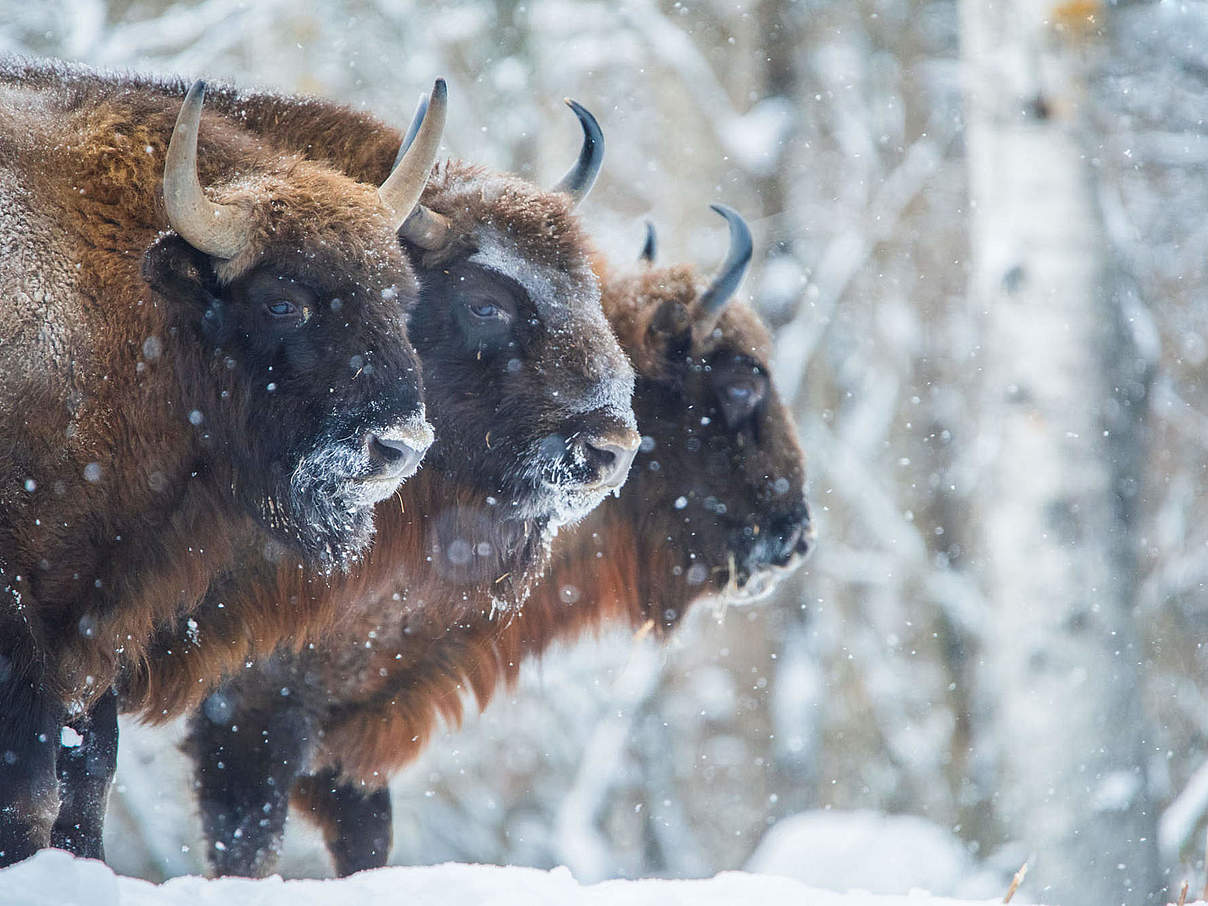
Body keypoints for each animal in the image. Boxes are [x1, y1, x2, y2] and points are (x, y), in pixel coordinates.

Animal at [0, 60, 446, 869]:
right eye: (284, 303)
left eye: (401, 299)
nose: (398, 445)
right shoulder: (21, 607)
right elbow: (32, 787)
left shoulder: (92, 616)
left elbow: (86, 776)